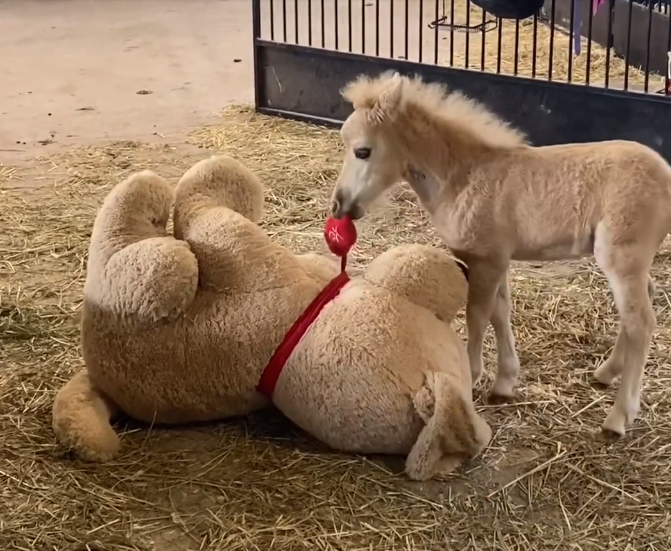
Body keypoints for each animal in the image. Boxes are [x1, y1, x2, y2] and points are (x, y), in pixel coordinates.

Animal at [330, 70, 671, 439]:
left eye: (363, 151)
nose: (339, 205)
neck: (463, 177)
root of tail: (666, 175)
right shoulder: (498, 259)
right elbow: (500, 312)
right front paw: (504, 383)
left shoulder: (484, 259)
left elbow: (477, 316)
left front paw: (473, 375)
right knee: (642, 303)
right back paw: (606, 373)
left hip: (621, 258)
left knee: (641, 322)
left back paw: (618, 417)